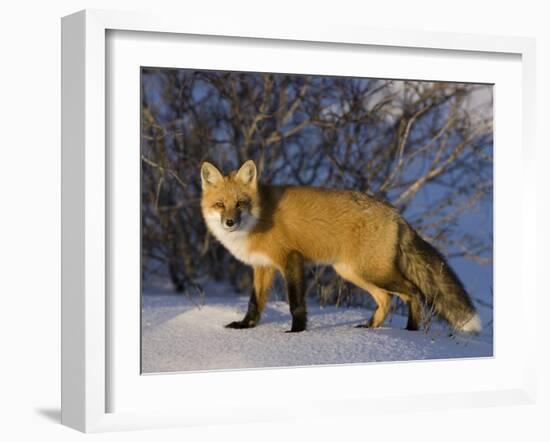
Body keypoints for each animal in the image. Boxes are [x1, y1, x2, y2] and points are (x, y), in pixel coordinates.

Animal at [202, 161, 484, 334]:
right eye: (220, 204)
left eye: (240, 203)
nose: (230, 222)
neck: (258, 218)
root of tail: (396, 214)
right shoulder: (263, 267)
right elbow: (255, 303)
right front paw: (245, 326)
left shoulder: (291, 259)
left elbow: (296, 303)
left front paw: (296, 332)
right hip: (352, 272)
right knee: (387, 299)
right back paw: (371, 328)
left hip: (371, 272)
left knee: (412, 292)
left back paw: (411, 332)